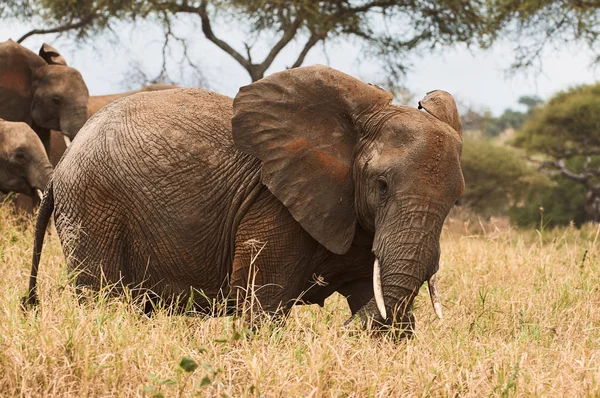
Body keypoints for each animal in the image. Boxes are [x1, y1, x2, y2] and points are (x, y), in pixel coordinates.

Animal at [27, 66, 464, 336]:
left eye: (455, 201)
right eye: (382, 185)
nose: (336, 333)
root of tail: (63, 163)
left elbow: (377, 297)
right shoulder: (276, 205)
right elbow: (263, 306)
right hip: (92, 202)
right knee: (100, 293)